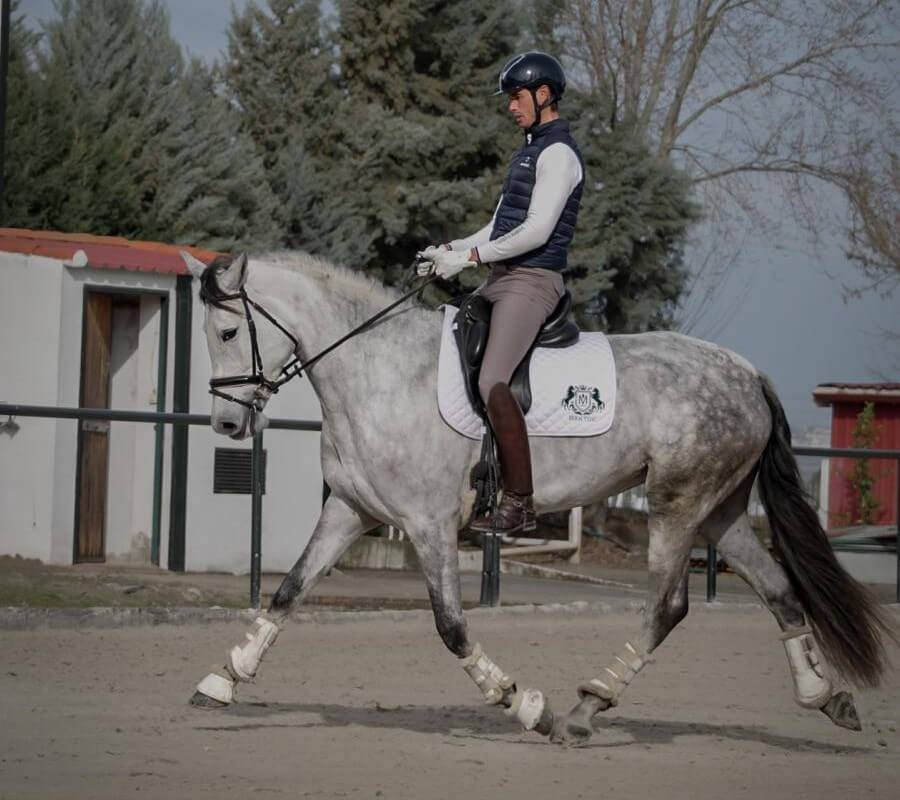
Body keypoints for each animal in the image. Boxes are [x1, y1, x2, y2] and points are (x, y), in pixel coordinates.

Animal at [180, 249, 892, 746]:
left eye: (226, 334)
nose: (227, 425)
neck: (376, 372)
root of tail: (746, 372)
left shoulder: (429, 524)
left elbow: (451, 627)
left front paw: (526, 706)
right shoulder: (350, 511)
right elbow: (287, 592)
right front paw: (221, 680)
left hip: (677, 505)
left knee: (668, 607)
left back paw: (583, 709)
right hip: (720, 512)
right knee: (779, 592)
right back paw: (824, 696)